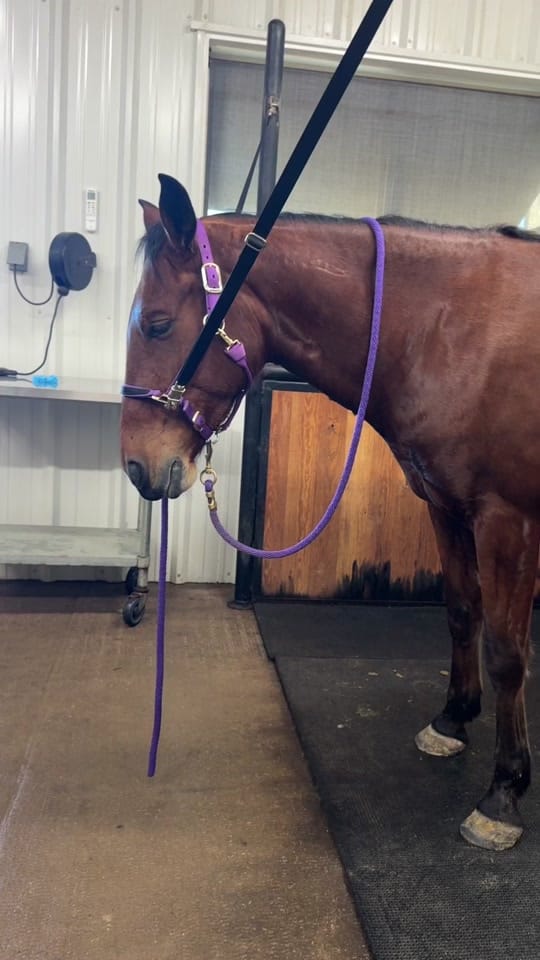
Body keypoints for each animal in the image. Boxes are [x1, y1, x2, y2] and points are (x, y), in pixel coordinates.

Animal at [121, 173, 540, 851]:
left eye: (157, 326)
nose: (138, 465)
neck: (452, 329)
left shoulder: (509, 520)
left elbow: (506, 651)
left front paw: (503, 793)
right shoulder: (448, 508)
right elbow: (460, 613)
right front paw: (452, 721)